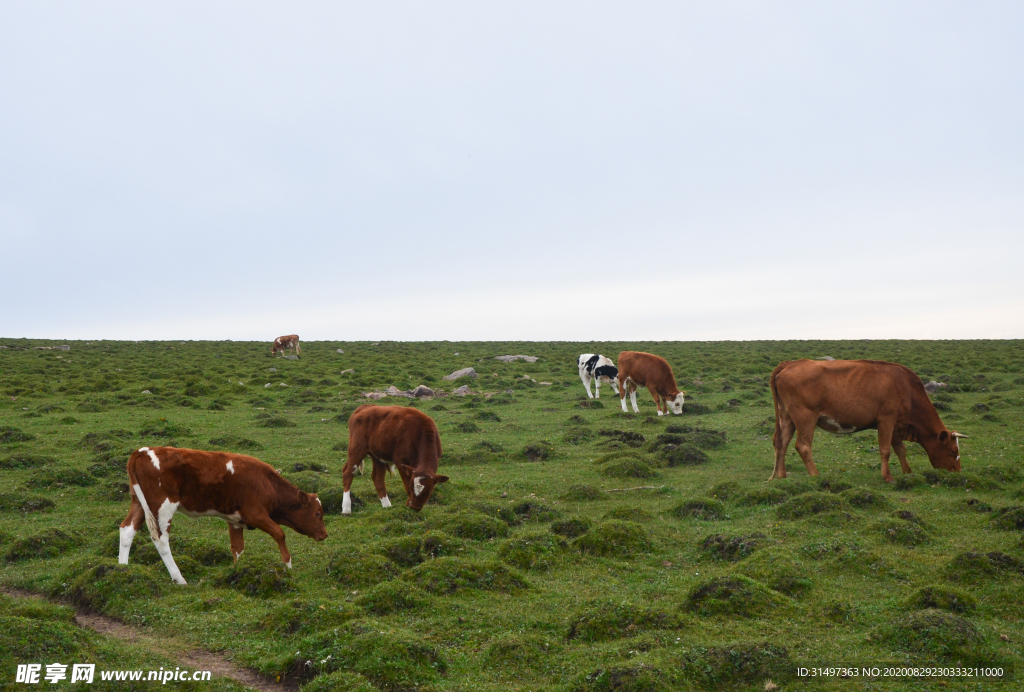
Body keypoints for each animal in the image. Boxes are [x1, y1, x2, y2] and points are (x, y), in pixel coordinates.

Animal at [119, 448, 327, 585]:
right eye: (318, 513)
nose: (325, 534)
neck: (267, 483)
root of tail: (142, 451)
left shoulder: (235, 521)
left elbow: (237, 548)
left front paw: (239, 571)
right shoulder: (256, 514)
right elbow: (279, 533)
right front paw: (287, 566)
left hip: (139, 503)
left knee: (127, 529)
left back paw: (122, 568)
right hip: (162, 506)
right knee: (161, 540)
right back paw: (179, 578)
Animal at [770, 360, 966, 483]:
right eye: (953, 450)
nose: (958, 471)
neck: (908, 390)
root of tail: (790, 363)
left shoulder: (897, 425)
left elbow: (900, 450)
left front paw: (907, 472)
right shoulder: (886, 419)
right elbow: (886, 450)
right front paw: (888, 477)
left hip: (787, 417)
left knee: (782, 443)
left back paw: (781, 475)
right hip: (805, 417)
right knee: (803, 446)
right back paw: (815, 475)